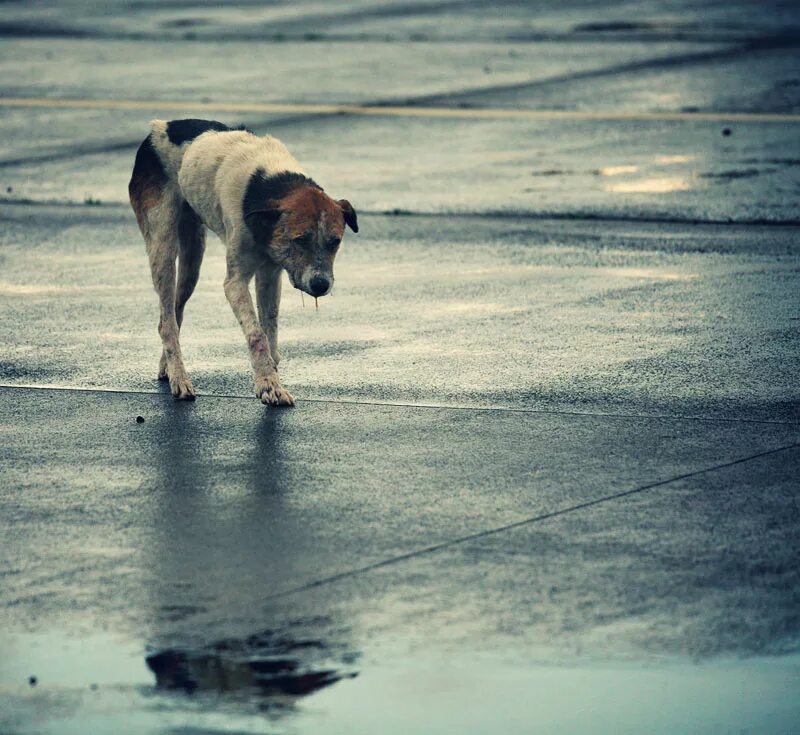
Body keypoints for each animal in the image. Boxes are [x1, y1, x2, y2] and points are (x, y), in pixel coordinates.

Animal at [129, 121, 360, 408]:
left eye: (335, 241)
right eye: (300, 240)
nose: (320, 285)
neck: (269, 184)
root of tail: (159, 126)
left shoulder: (271, 273)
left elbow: (269, 327)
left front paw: (270, 375)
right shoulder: (235, 282)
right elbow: (256, 334)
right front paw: (268, 386)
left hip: (193, 258)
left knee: (173, 312)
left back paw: (167, 368)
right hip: (163, 248)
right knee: (167, 321)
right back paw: (180, 379)